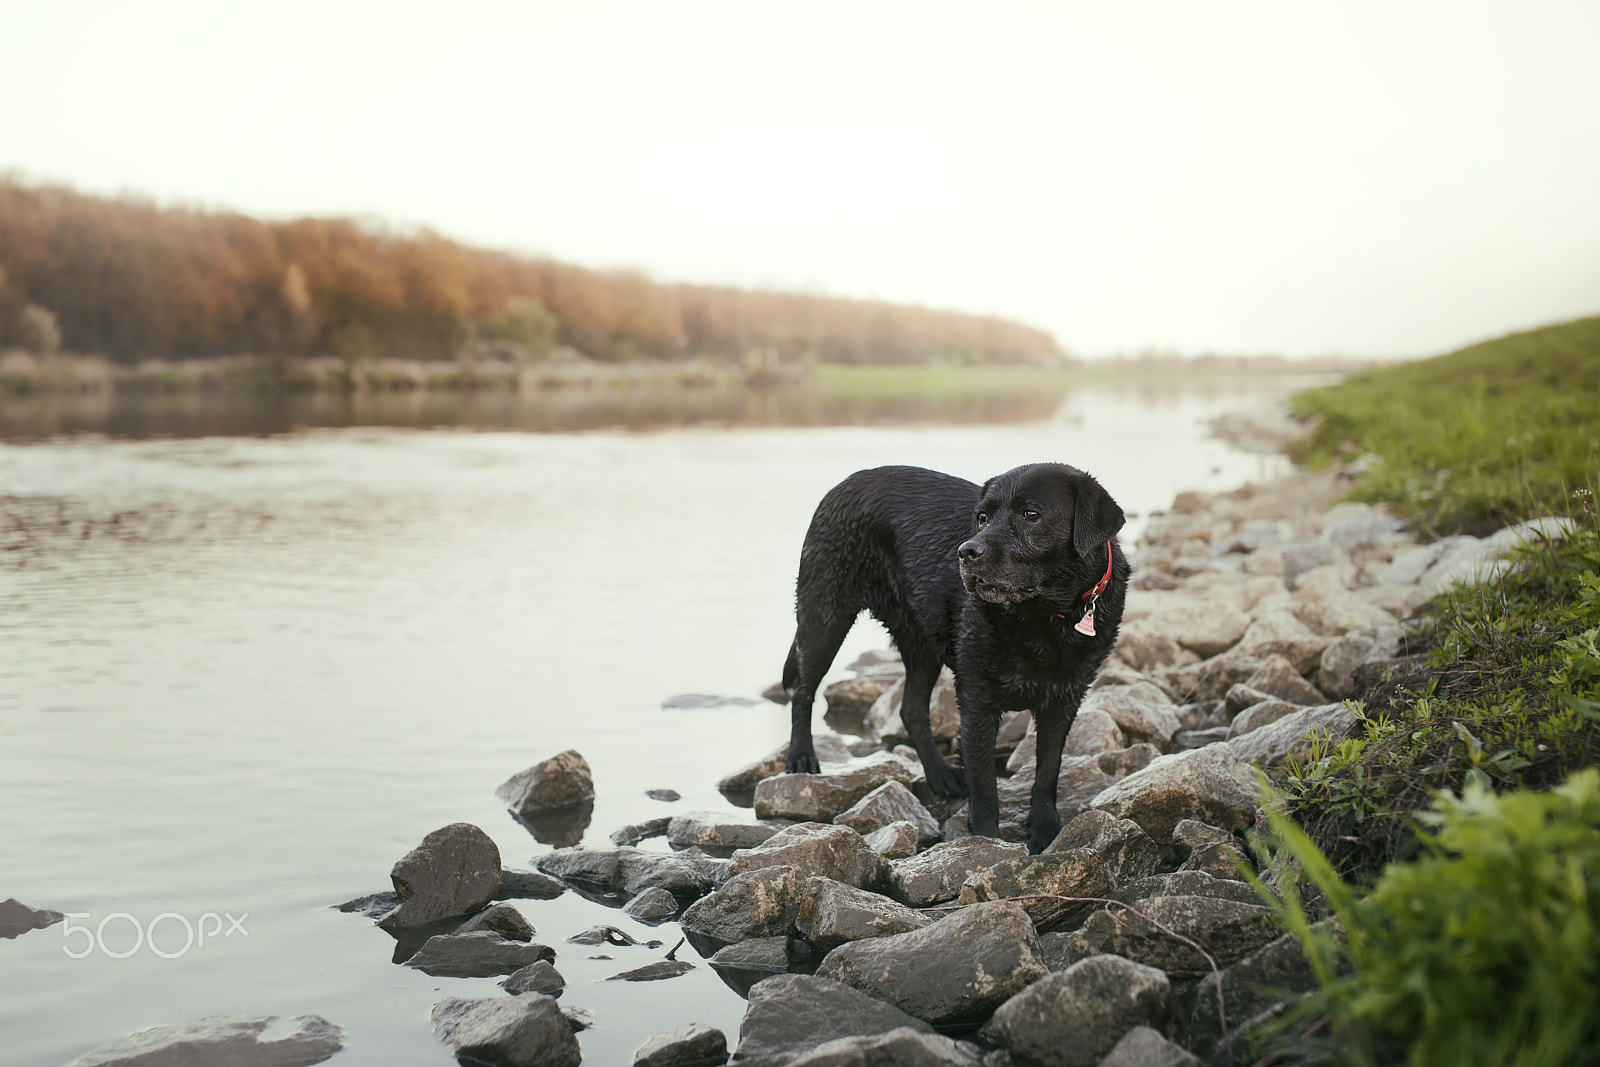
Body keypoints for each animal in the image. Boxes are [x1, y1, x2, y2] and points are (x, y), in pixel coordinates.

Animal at [780, 463, 1132, 857]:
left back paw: (940, 775)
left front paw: (1046, 832)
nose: (966, 552)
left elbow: (1047, 773)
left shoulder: (1064, 701)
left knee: (911, 710)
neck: (1043, 616)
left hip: (922, 643)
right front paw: (988, 845)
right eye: (982, 517)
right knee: (803, 689)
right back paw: (801, 758)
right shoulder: (978, 702)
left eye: (1032, 515)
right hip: (825, 615)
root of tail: (845, 483)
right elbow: (985, 787)